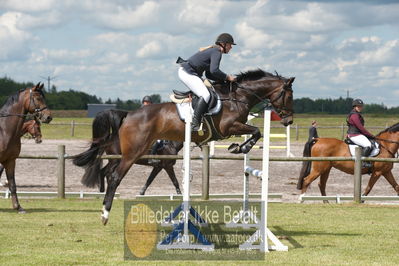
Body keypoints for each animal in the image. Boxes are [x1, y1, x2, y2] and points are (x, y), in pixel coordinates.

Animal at [0, 83, 52, 212]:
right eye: (38, 98)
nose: (49, 117)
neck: (4, 130)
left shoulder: (10, 161)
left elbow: (13, 185)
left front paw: (18, 207)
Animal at [73, 69, 296, 224]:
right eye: (289, 95)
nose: (289, 121)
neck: (237, 97)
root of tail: (128, 114)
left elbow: (255, 132)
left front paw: (238, 147)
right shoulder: (229, 127)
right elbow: (257, 131)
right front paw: (241, 148)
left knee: (108, 173)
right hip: (132, 153)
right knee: (114, 177)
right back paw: (105, 213)